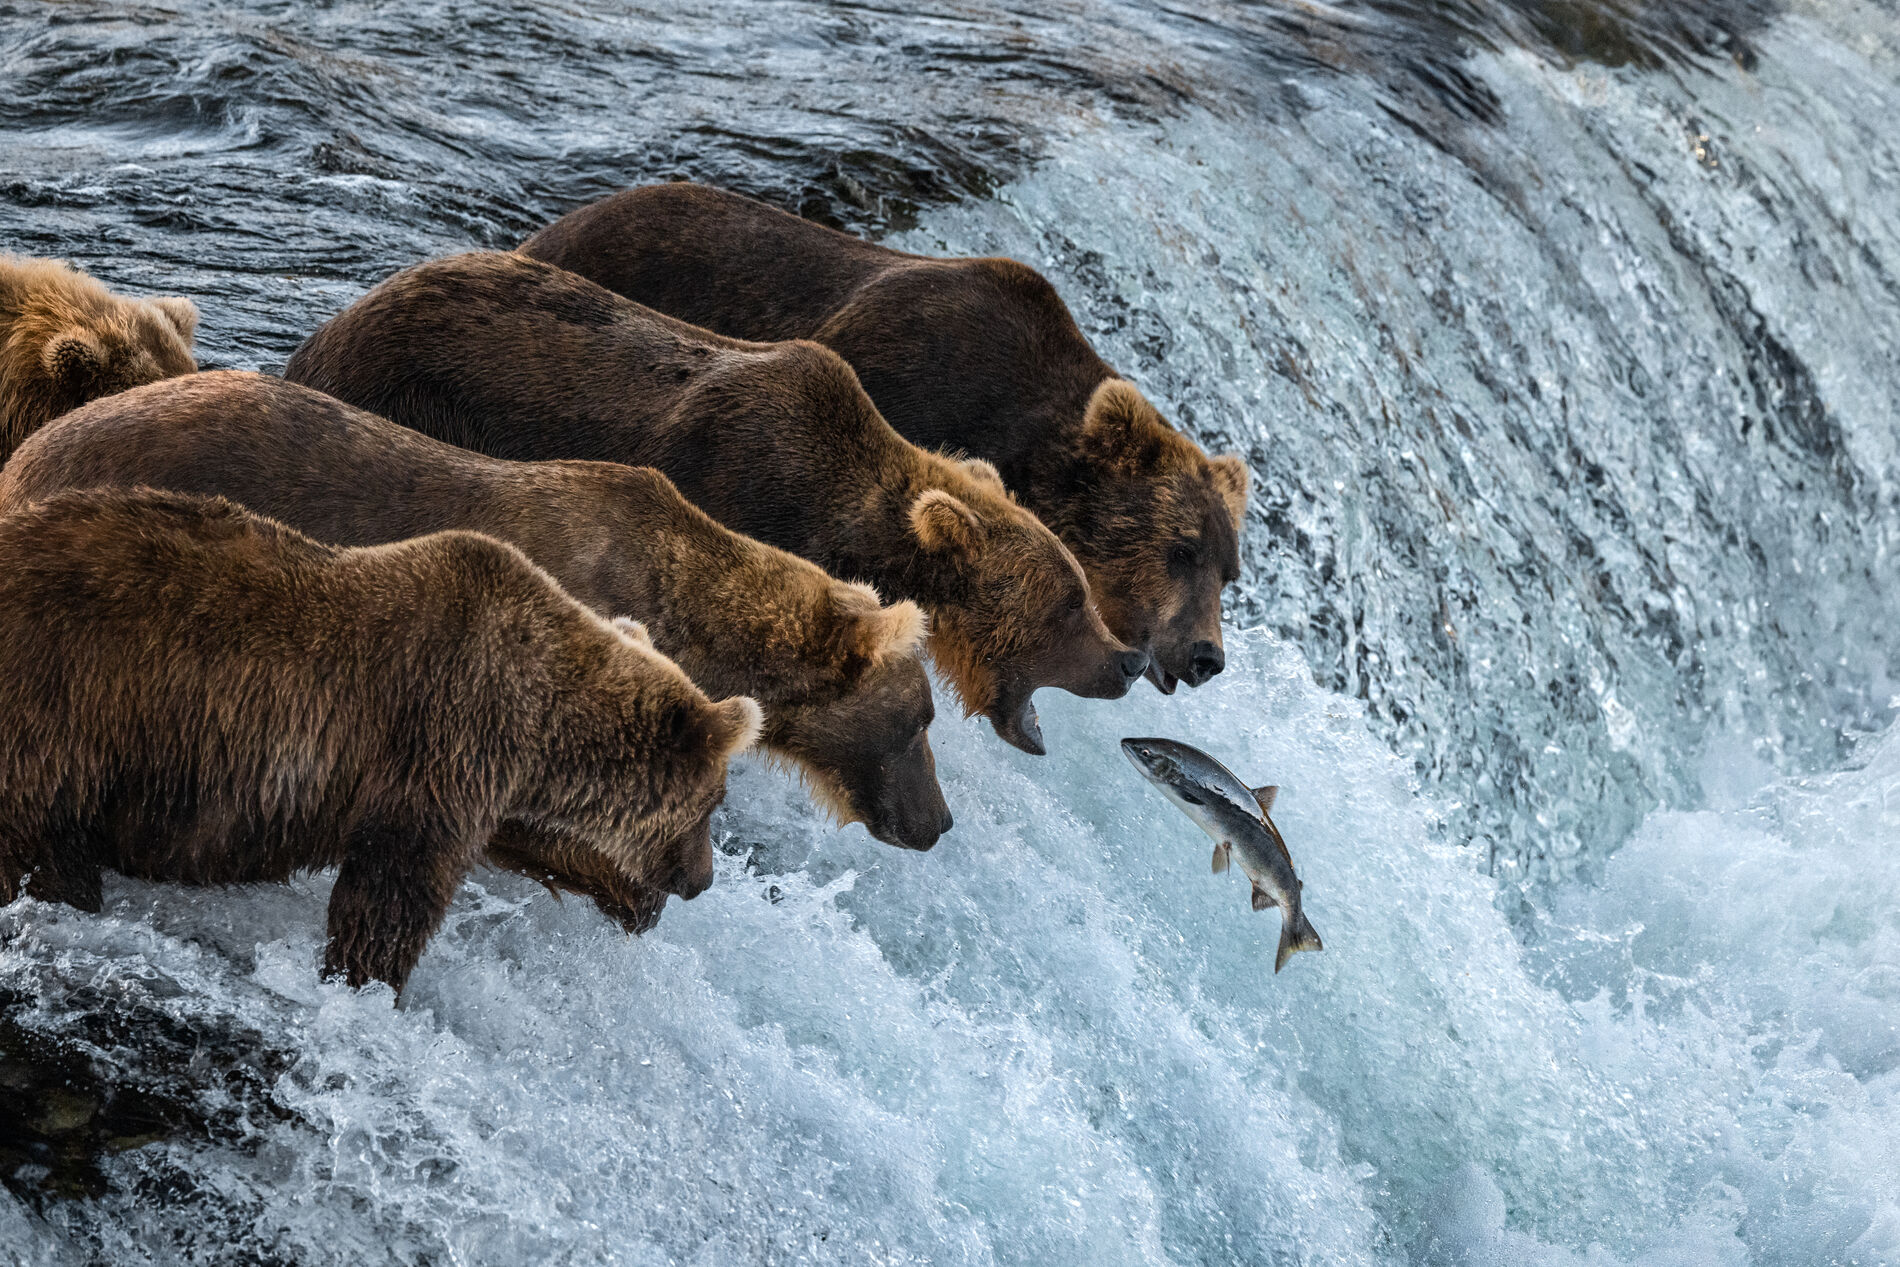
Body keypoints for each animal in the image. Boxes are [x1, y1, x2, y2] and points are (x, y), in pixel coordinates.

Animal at [0, 486, 762, 994]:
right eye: (713, 804)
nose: (700, 879)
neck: (543, 718)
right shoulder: (448, 734)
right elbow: (392, 892)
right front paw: (365, 981)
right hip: (61, 715)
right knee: (47, 850)